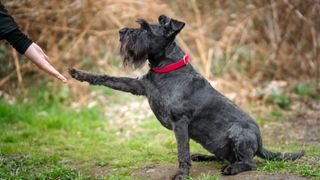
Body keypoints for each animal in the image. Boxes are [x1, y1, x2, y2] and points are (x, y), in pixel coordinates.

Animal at [69, 15, 304, 179]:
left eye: (145, 29)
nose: (121, 31)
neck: (166, 68)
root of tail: (260, 143)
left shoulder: (180, 122)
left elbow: (182, 151)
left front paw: (182, 174)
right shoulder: (139, 86)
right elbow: (110, 79)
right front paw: (79, 73)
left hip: (238, 133)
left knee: (249, 162)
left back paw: (231, 168)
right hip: (216, 144)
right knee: (226, 156)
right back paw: (203, 156)